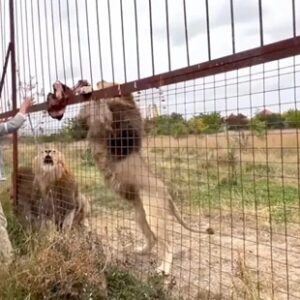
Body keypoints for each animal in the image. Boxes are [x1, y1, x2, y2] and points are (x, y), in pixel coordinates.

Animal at [76, 80, 214, 276]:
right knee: (152, 239)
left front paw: (88, 90)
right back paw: (140, 251)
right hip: (140, 216)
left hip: (154, 215)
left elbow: (98, 104)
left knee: (167, 244)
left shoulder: (103, 122)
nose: (92, 82)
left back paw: (164, 269)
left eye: (104, 83)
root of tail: (166, 191)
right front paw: (83, 89)